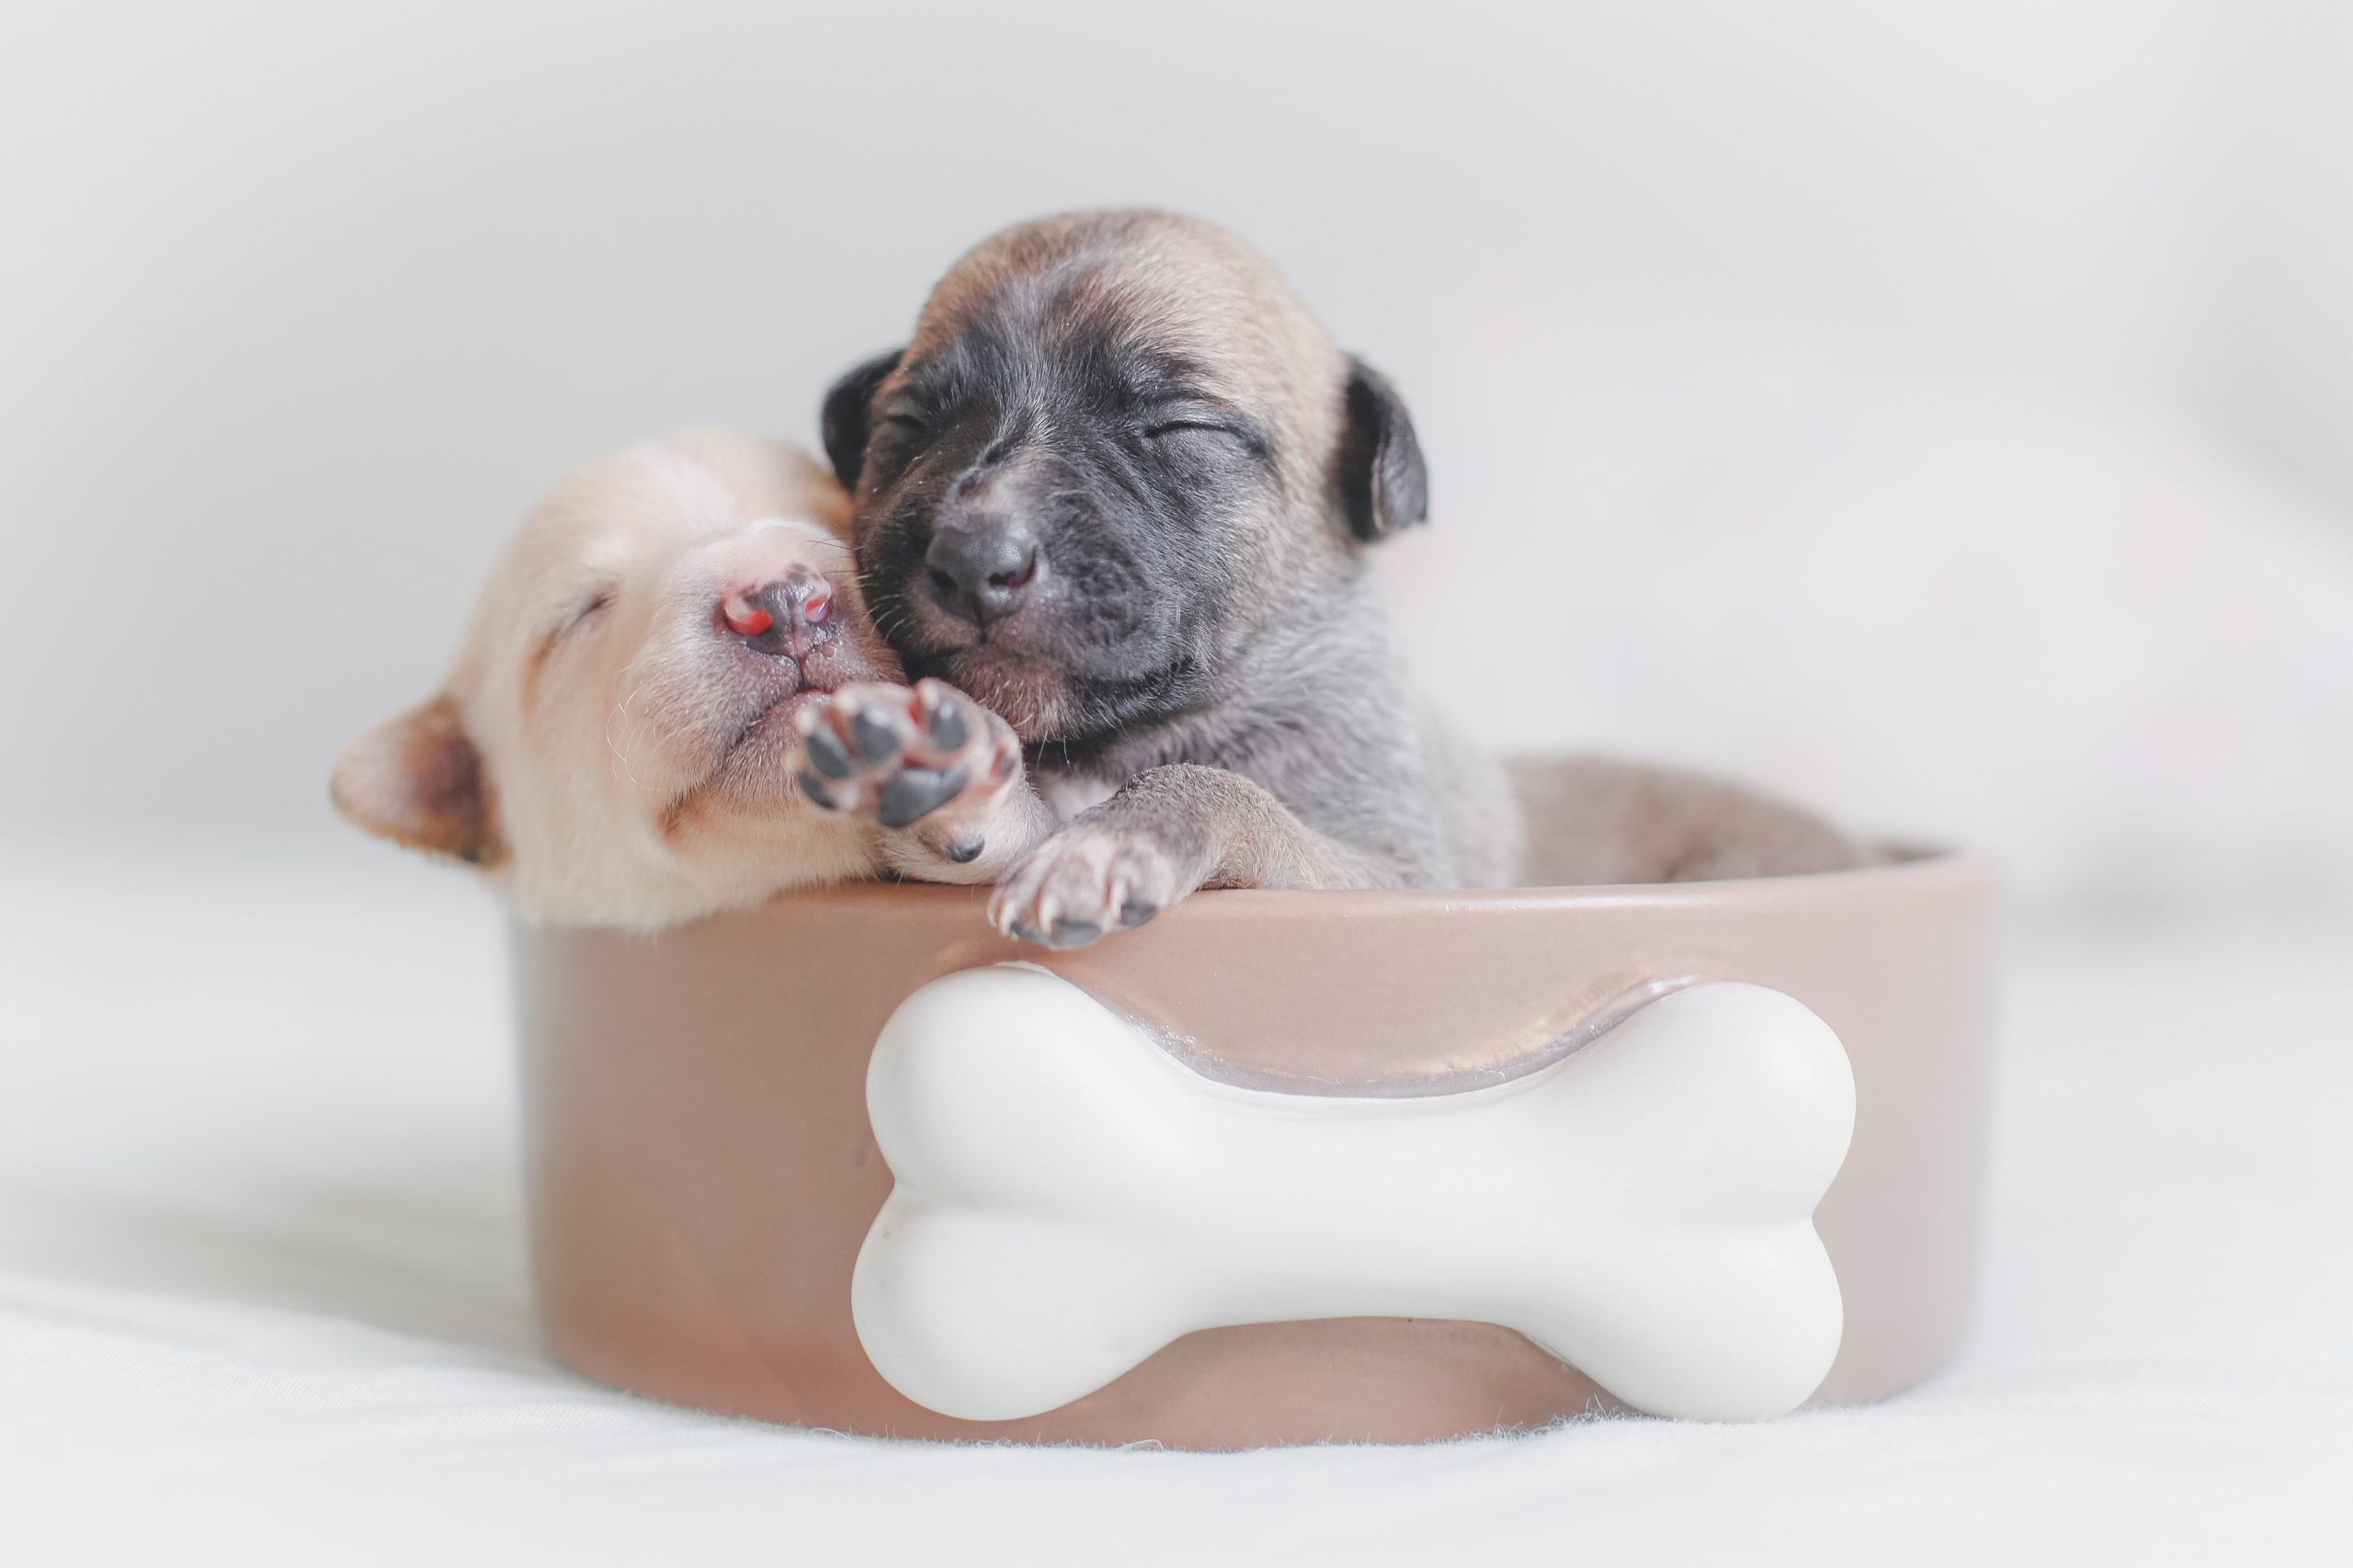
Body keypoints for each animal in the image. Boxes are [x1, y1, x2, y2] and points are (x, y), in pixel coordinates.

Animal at [800, 207, 1863, 941]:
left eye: (1177, 429)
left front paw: (1123, 835)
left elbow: (1230, 796)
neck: (1109, 747)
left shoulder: (1397, 882)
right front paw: (941, 773)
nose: (974, 557)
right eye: (908, 427)